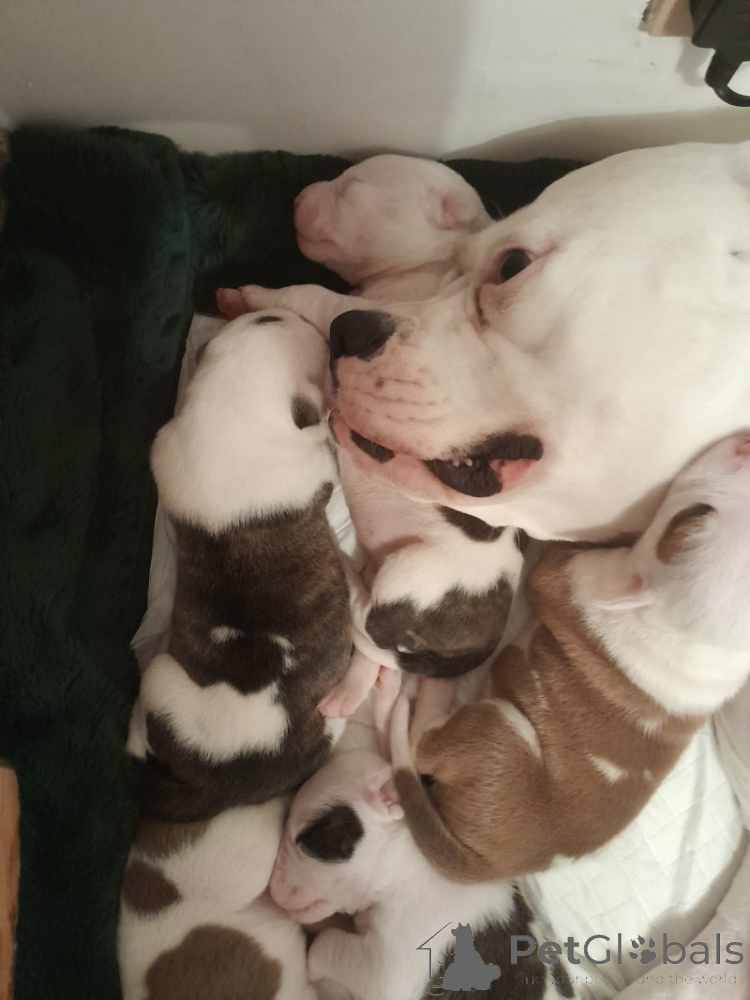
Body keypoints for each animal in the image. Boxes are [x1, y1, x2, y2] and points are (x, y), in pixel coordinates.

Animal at [127, 309, 352, 821]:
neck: (227, 405)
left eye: (266, 317)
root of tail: (226, 789)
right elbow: (322, 447)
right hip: (161, 677)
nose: (302, 317)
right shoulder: (316, 466)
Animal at [268, 749, 574, 1000]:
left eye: (305, 839)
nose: (271, 884)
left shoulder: (383, 970)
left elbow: (326, 945)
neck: (407, 867)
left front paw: (312, 967)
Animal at [389, 433, 750, 883]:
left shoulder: (565, 577)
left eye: (696, 512)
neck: (695, 643)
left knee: (423, 741)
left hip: (499, 729)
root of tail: (495, 867)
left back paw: (434, 692)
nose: (746, 439)